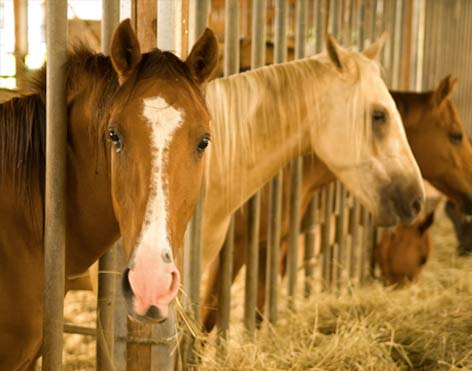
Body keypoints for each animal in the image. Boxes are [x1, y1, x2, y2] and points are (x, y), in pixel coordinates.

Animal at [201, 74, 472, 332]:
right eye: (456, 135)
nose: (470, 194)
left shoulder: (272, 244)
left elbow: (259, 309)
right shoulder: (232, 250)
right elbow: (207, 318)